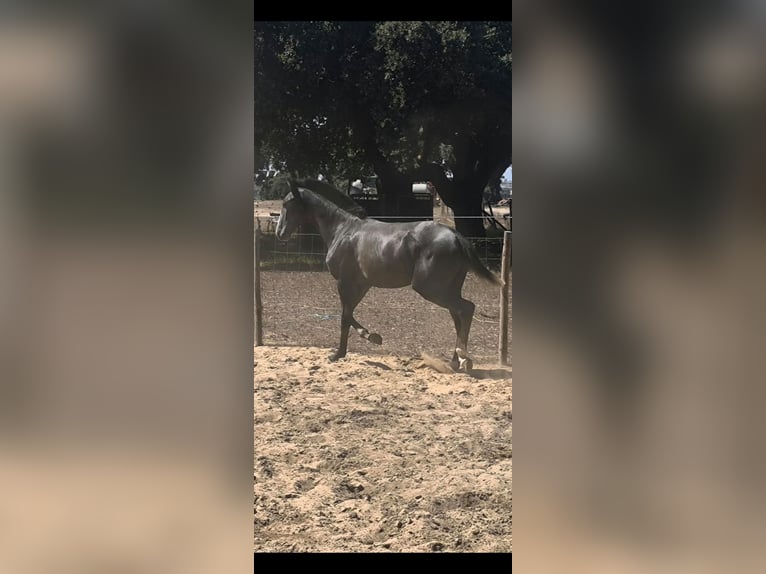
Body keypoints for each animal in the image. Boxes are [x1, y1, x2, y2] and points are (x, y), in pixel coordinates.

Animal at [275, 179, 503, 372]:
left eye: (287, 204)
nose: (280, 234)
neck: (343, 229)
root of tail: (456, 236)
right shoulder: (362, 284)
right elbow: (349, 314)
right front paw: (370, 337)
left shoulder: (345, 282)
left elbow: (345, 316)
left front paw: (341, 352)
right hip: (449, 288)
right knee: (458, 316)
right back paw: (456, 361)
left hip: (430, 288)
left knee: (466, 309)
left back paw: (464, 358)